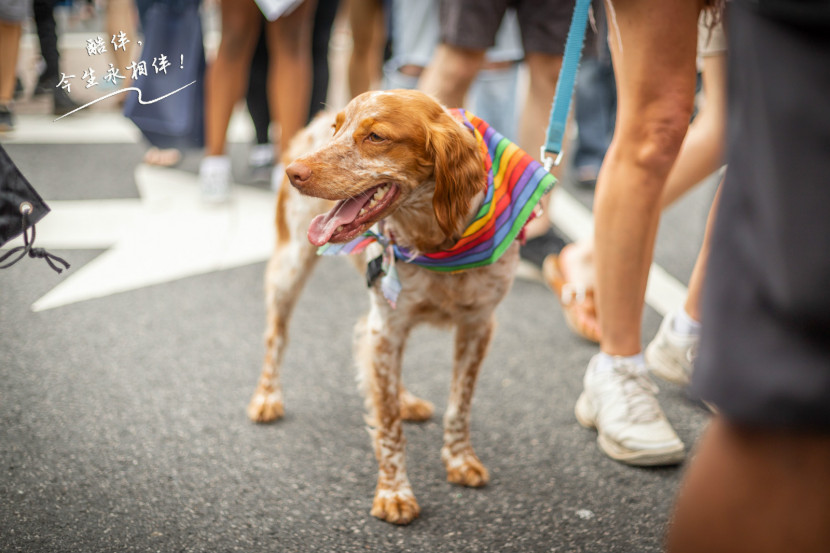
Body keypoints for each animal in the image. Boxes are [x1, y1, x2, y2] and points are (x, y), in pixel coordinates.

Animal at [247, 88, 556, 524]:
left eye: (376, 136)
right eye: (337, 130)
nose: (293, 173)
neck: (435, 238)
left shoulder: (477, 325)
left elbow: (459, 405)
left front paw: (459, 460)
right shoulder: (388, 326)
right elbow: (389, 424)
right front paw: (394, 492)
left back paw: (405, 398)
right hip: (289, 268)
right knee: (277, 335)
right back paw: (267, 397)